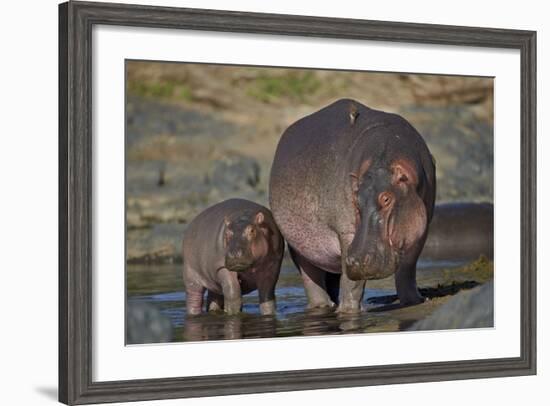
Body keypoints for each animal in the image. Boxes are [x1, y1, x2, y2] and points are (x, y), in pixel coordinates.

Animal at [270, 99, 438, 314]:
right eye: (355, 199)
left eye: (386, 199)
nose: (356, 260)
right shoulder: (347, 232)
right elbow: (352, 283)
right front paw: (348, 312)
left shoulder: (421, 228)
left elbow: (408, 268)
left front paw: (414, 300)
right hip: (299, 246)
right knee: (311, 278)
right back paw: (323, 306)